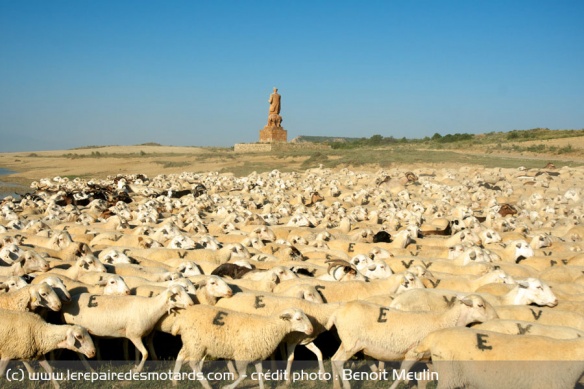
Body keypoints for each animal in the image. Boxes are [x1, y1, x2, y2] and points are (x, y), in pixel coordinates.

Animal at [167, 306, 312, 388]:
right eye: (299, 319)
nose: (311, 329)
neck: (268, 327)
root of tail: (181, 318)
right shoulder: (242, 355)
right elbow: (242, 376)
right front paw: (228, 387)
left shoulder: (257, 355)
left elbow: (260, 375)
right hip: (196, 343)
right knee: (194, 364)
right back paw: (206, 384)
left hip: (191, 343)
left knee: (180, 356)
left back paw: (174, 382)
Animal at [328, 296, 498, 388]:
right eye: (480, 305)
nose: (496, 317)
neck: (443, 321)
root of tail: (337, 312)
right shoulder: (413, 353)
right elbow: (402, 373)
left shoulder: (429, 358)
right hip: (352, 343)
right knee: (339, 361)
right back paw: (347, 385)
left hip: (346, 342)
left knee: (334, 359)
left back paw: (337, 385)